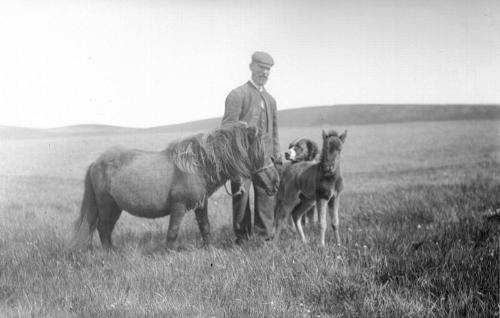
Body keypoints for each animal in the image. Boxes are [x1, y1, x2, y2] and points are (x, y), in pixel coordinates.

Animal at [69, 123, 282, 250]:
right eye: (260, 154)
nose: (275, 183)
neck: (197, 166)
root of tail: (96, 162)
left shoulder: (201, 205)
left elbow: (205, 227)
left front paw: (209, 248)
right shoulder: (178, 207)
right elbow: (172, 232)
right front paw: (169, 254)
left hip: (115, 207)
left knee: (106, 229)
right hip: (106, 204)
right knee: (103, 228)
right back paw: (109, 254)